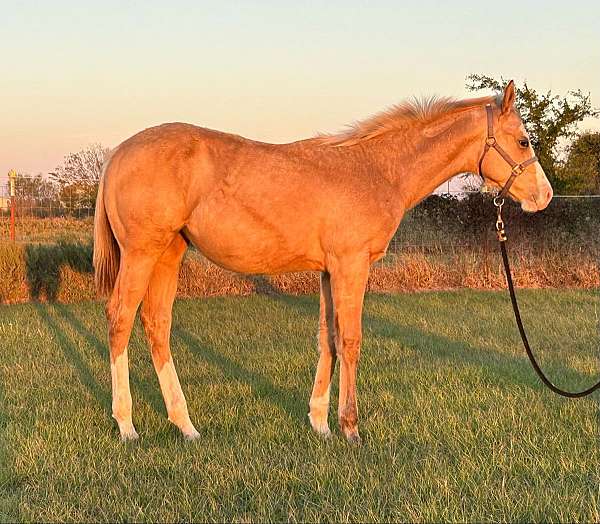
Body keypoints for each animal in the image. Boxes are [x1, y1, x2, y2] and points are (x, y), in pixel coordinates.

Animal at [92, 81, 552, 442]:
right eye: (523, 141)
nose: (544, 196)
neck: (377, 169)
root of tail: (118, 154)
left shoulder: (330, 272)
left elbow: (327, 340)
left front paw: (320, 423)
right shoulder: (352, 266)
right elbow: (350, 341)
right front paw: (350, 428)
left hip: (169, 254)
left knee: (157, 325)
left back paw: (185, 425)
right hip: (142, 253)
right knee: (119, 321)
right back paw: (127, 425)